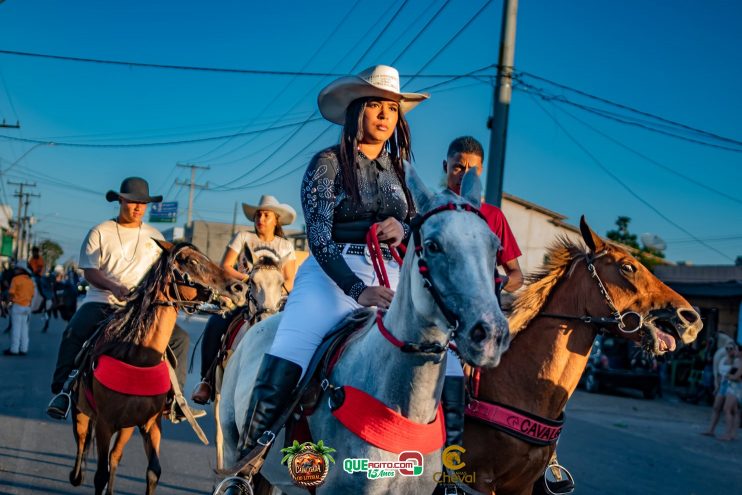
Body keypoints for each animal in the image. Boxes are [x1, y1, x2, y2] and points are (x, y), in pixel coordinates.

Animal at [69, 241, 247, 495]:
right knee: (82, 443)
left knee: (115, 456)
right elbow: (100, 474)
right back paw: (76, 473)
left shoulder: (150, 422)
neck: (138, 356)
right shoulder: (104, 424)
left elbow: (153, 471)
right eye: (192, 261)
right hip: (81, 412)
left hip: (126, 426)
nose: (240, 288)